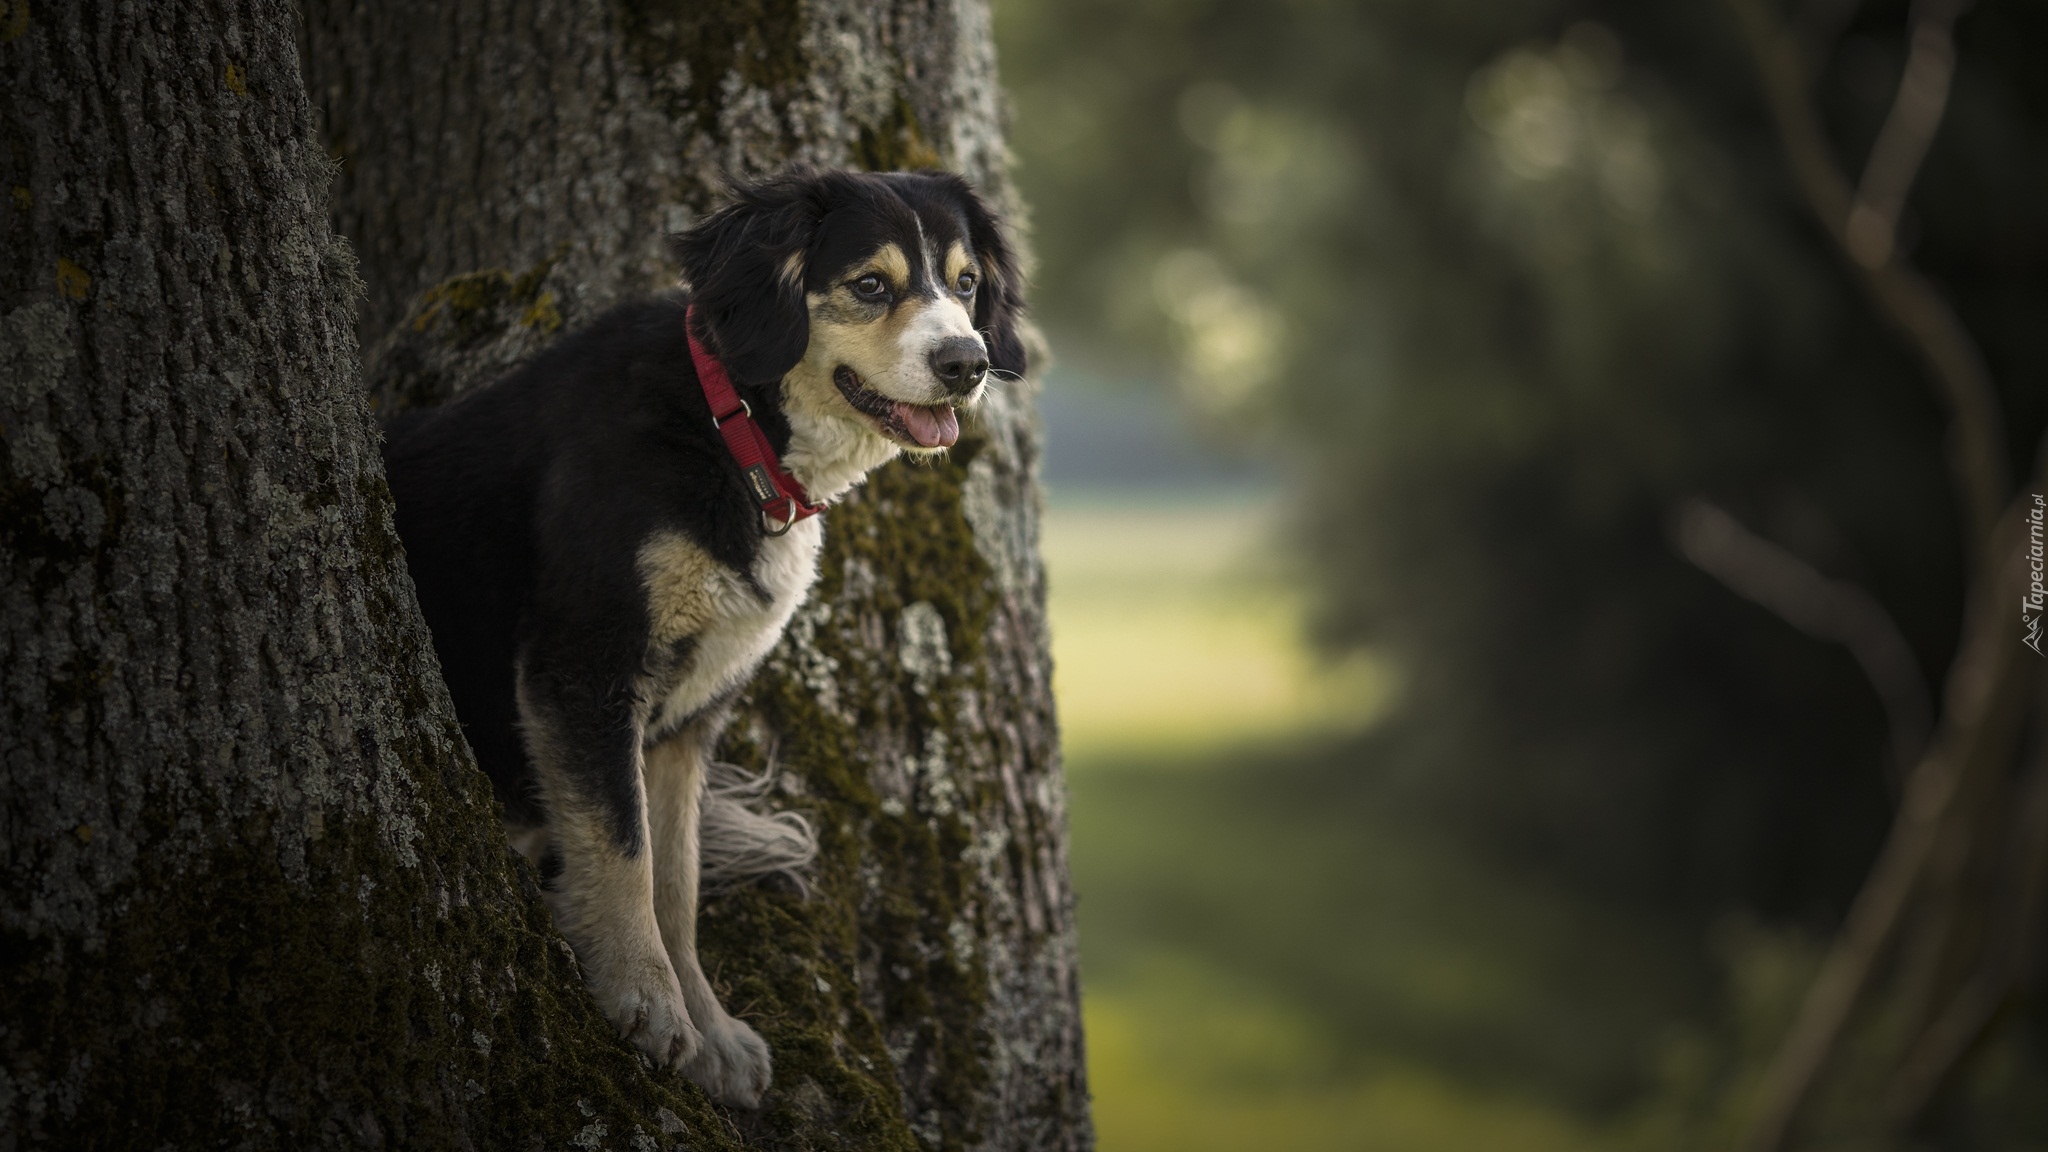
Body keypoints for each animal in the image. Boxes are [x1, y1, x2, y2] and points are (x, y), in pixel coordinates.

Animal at [374, 166, 1024, 1098]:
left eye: (967, 285)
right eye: (871, 285)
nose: (966, 362)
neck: (733, 434)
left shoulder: (684, 723)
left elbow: (674, 883)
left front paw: (710, 1031)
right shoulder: (584, 672)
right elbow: (622, 850)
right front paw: (644, 1003)